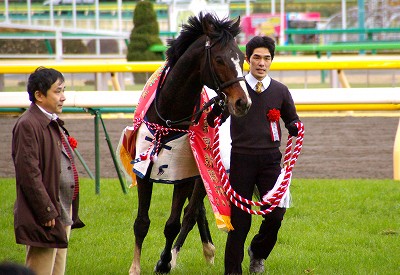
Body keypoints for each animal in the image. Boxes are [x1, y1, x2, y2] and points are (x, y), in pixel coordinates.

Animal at [122, 11, 252, 274]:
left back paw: (191, 252)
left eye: (242, 58)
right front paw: (135, 267)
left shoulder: (182, 173)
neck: (169, 115)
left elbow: (174, 223)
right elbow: (141, 222)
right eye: (220, 59)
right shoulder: (144, 169)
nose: (243, 102)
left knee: (191, 213)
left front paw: (164, 262)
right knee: (196, 210)